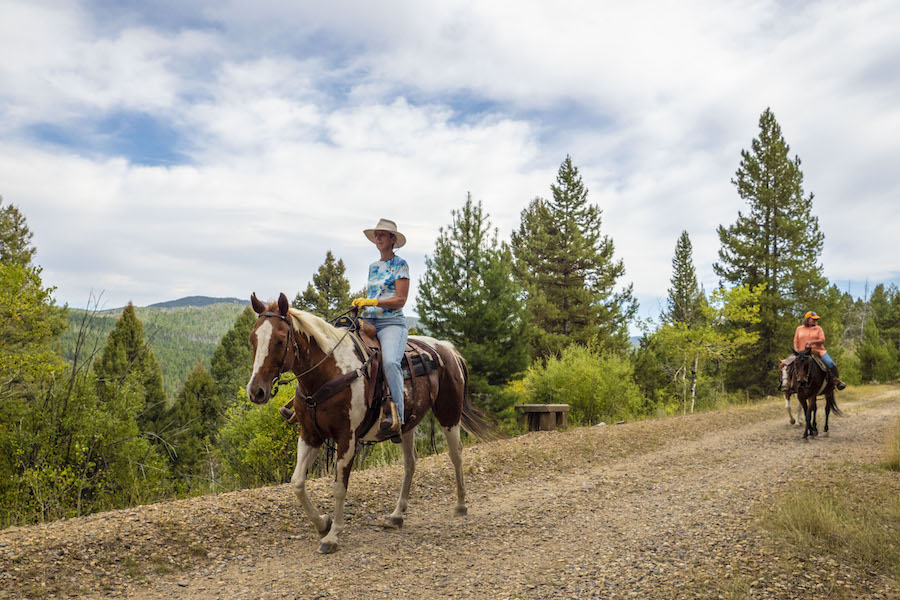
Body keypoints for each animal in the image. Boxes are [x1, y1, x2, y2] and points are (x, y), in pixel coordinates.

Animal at [244, 294, 492, 552]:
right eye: (252, 339)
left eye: (280, 340)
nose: (256, 391)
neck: (329, 371)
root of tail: (447, 348)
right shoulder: (310, 435)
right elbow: (297, 483)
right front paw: (322, 523)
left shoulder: (347, 437)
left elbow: (339, 487)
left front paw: (332, 536)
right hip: (407, 424)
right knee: (411, 462)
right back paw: (396, 515)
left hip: (449, 414)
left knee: (456, 455)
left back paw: (461, 505)